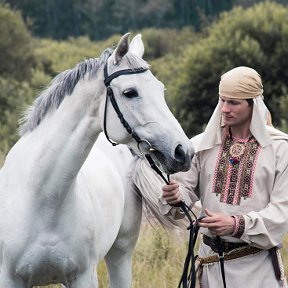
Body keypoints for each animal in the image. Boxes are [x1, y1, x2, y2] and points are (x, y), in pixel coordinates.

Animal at [0, 34, 194, 288]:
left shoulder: (83, 277)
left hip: (121, 254)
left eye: (160, 90)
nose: (183, 152)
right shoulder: (10, 279)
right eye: (130, 92)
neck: (41, 198)